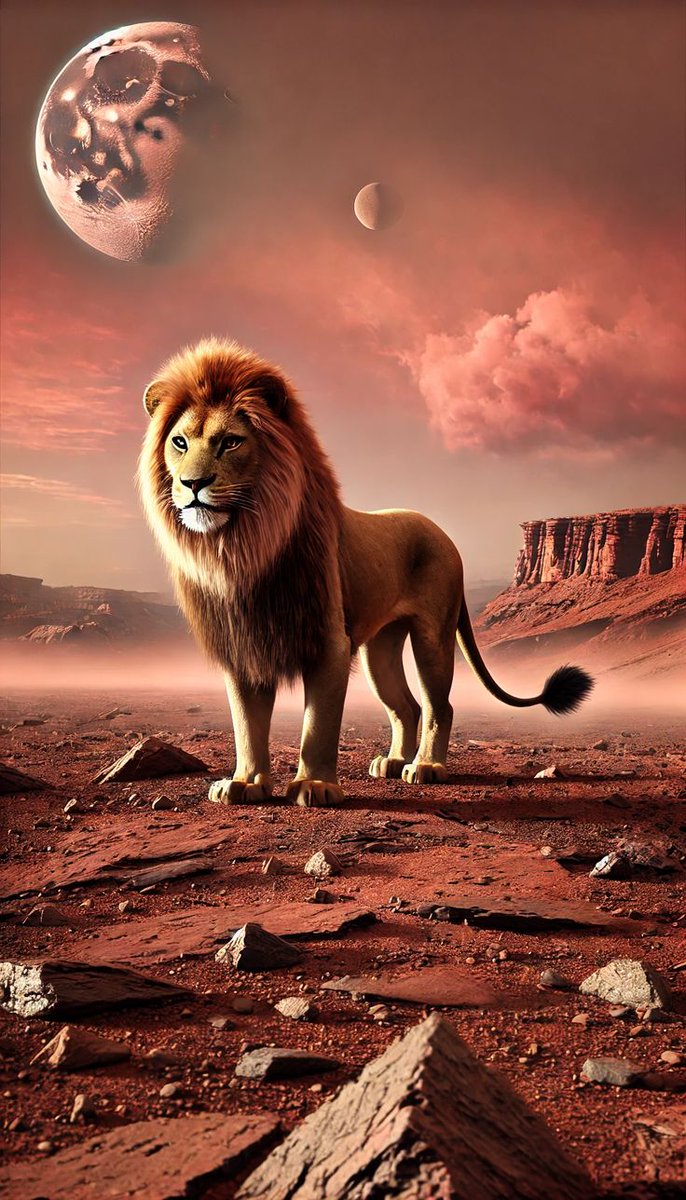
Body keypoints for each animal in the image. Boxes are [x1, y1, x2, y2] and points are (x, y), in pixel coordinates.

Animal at [138, 337, 593, 807]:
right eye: (179, 442)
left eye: (230, 442)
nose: (192, 484)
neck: (242, 547)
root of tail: (441, 532)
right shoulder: (245, 648)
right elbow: (247, 725)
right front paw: (245, 783)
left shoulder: (329, 642)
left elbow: (317, 725)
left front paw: (315, 786)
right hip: (381, 648)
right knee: (406, 706)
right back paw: (392, 762)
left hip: (432, 635)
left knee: (438, 705)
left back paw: (426, 767)